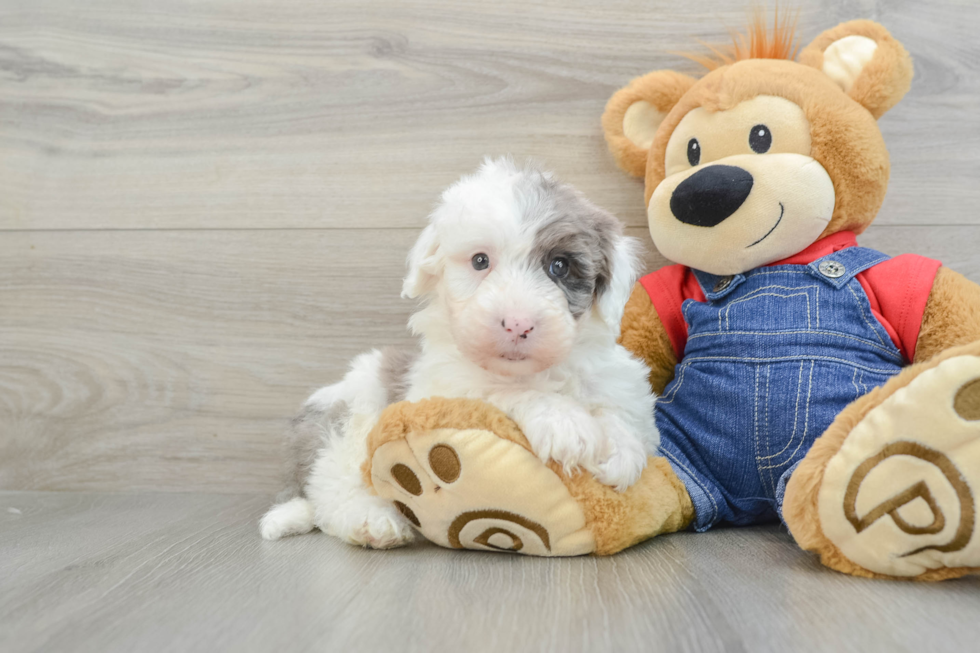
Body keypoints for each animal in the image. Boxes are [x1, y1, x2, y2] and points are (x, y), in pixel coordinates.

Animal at [260, 160, 660, 548]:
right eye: (480, 261)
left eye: (559, 266)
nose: (518, 323)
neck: (535, 372)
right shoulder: (439, 391)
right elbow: (499, 391)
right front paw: (564, 422)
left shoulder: (623, 386)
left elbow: (623, 411)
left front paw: (618, 449)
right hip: (350, 420)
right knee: (332, 489)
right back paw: (372, 521)